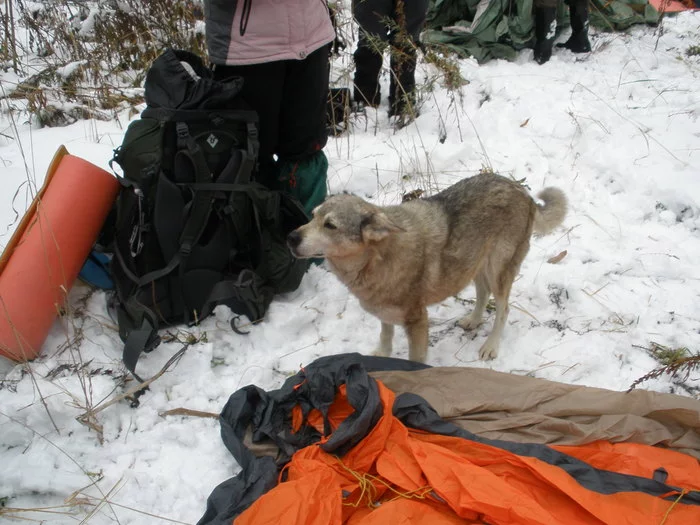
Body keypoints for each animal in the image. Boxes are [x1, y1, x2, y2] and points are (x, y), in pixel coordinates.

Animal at [288, 174, 568, 362]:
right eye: (312, 216)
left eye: (330, 225)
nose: (290, 237)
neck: (377, 260)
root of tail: (522, 190)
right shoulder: (385, 313)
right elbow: (385, 337)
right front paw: (382, 356)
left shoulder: (417, 321)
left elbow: (415, 360)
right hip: (473, 266)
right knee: (482, 294)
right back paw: (473, 320)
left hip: (497, 270)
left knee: (503, 309)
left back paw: (491, 346)